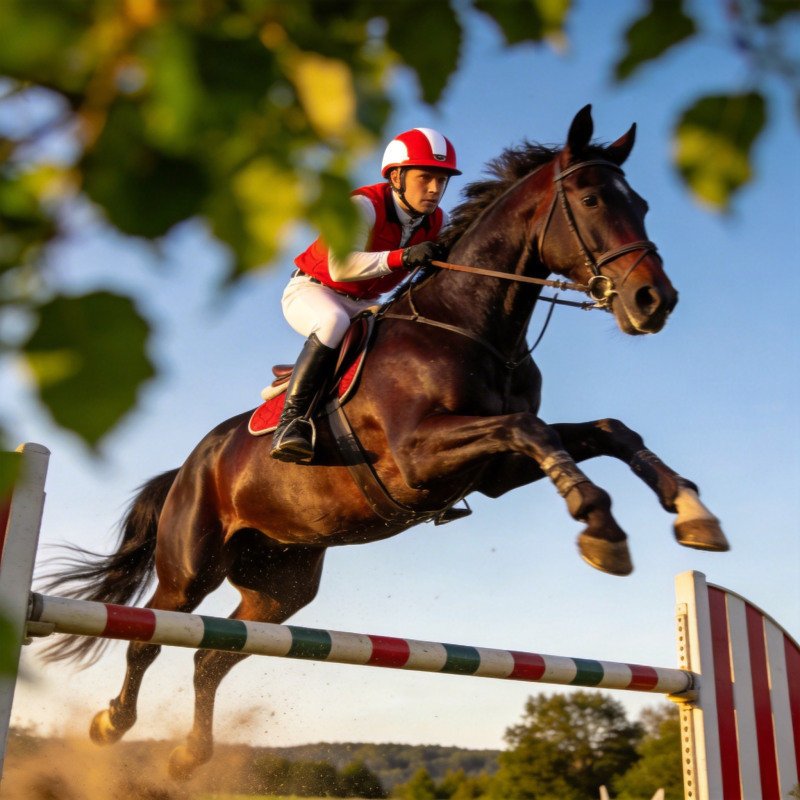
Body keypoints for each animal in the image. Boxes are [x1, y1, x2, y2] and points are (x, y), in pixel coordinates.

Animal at [41, 106, 728, 781]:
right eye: (589, 199)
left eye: (641, 203)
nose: (654, 301)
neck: (474, 327)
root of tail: (189, 466)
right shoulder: (419, 456)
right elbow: (531, 430)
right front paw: (601, 530)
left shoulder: (494, 473)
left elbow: (609, 431)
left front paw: (693, 514)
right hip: (190, 567)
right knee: (150, 638)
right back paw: (111, 724)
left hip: (279, 583)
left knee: (211, 656)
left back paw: (189, 755)